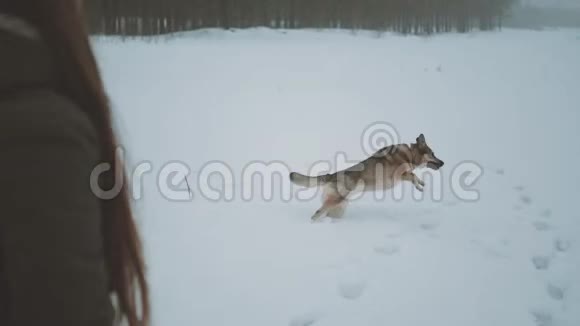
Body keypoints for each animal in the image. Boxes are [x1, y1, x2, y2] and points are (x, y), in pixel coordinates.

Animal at [290, 133, 444, 222]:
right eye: (433, 153)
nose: (443, 163)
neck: (410, 155)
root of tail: (332, 175)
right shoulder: (402, 174)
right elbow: (413, 175)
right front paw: (419, 186)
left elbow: (415, 177)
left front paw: (421, 184)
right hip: (335, 202)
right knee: (316, 214)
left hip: (339, 207)